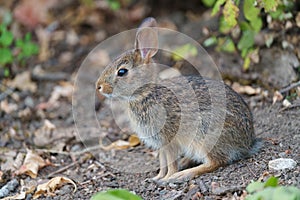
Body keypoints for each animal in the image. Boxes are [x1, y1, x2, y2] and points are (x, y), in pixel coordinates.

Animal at [95, 18, 260, 182]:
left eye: (122, 72)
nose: (99, 86)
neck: (146, 93)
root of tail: (246, 143)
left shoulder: (169, 140)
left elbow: (171, 163)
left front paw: (167, 178)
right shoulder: (160, 144)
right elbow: (163, 162)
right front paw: (157, 178)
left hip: (205, 136)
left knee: (216, 162)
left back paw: (184, 174)